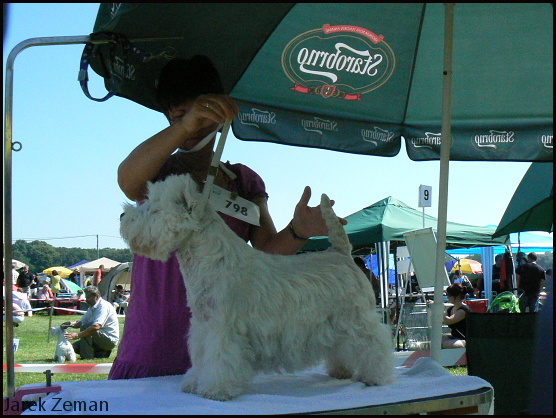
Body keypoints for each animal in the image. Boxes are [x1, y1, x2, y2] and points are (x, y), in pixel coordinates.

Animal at [119, 174, 394, 402]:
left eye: (154, 208)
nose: (122, 217)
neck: (208, 259)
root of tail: (341, 253)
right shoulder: (203, 324)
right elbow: (201, 356)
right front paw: (194, 382)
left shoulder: (224, 327)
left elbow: (219, 359)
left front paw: (216, 390)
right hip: (335, 324)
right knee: (344, 349)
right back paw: (341, 370)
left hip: (356, 317)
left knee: (375, 343)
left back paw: (376, 376)